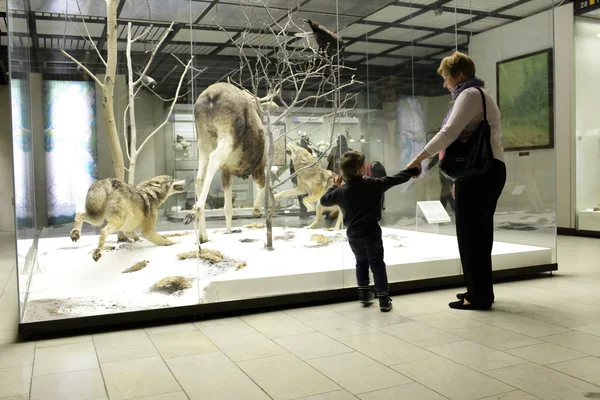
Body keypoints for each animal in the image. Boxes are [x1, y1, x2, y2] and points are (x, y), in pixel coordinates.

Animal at [184, 83, 278, 242]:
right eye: (258, 107)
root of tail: (211, 94)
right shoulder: (259, 165)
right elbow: (261, 185)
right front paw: (256, 209)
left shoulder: (226, 171)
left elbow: (228, 208)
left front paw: (228, 231)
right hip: (228, 133)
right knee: (214, 158)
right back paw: (195, 210)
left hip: (203, 137)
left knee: (199, 177)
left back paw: (202, 235)